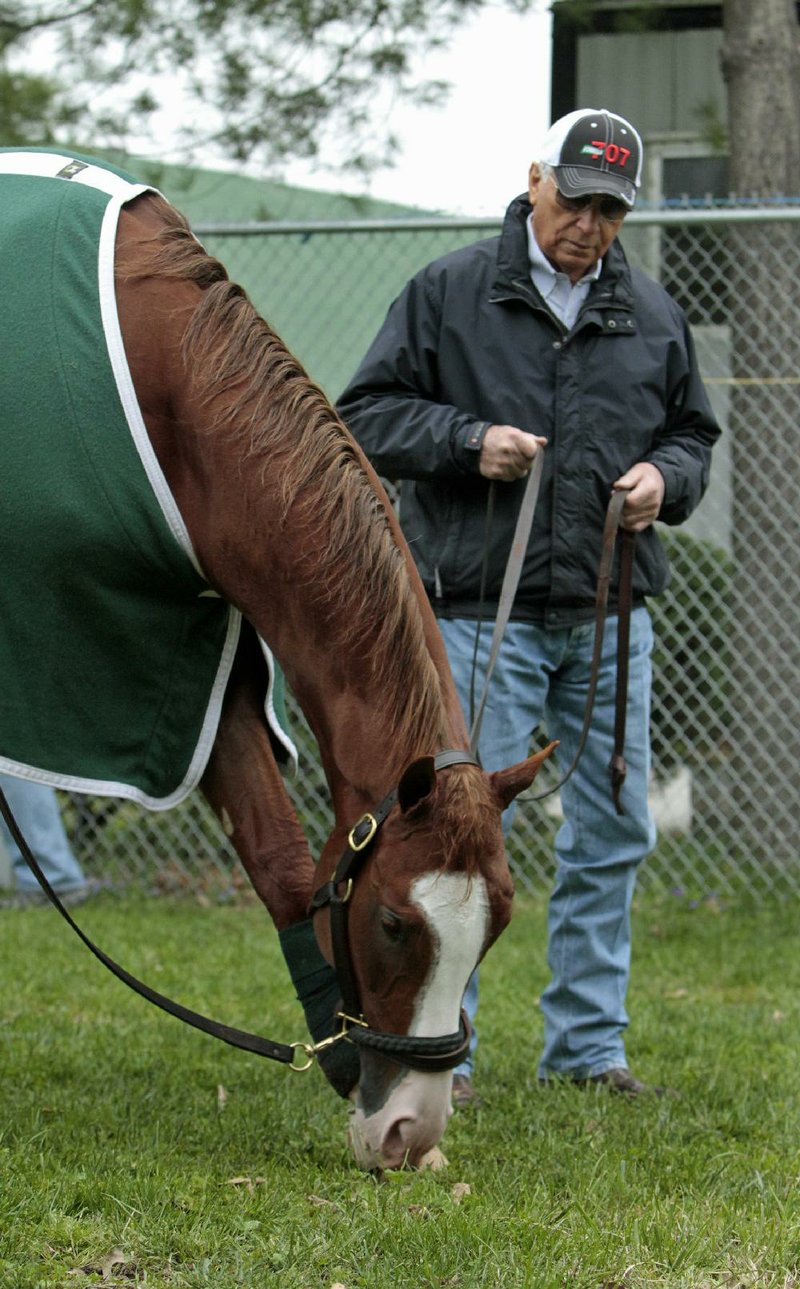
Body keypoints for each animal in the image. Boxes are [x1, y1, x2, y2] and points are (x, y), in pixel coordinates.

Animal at [0, 150, 548, 1170]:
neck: (171, 390)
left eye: (497, 920)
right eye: (394, 922)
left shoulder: (192, 667)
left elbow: (283, 864)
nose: (412, 1131)